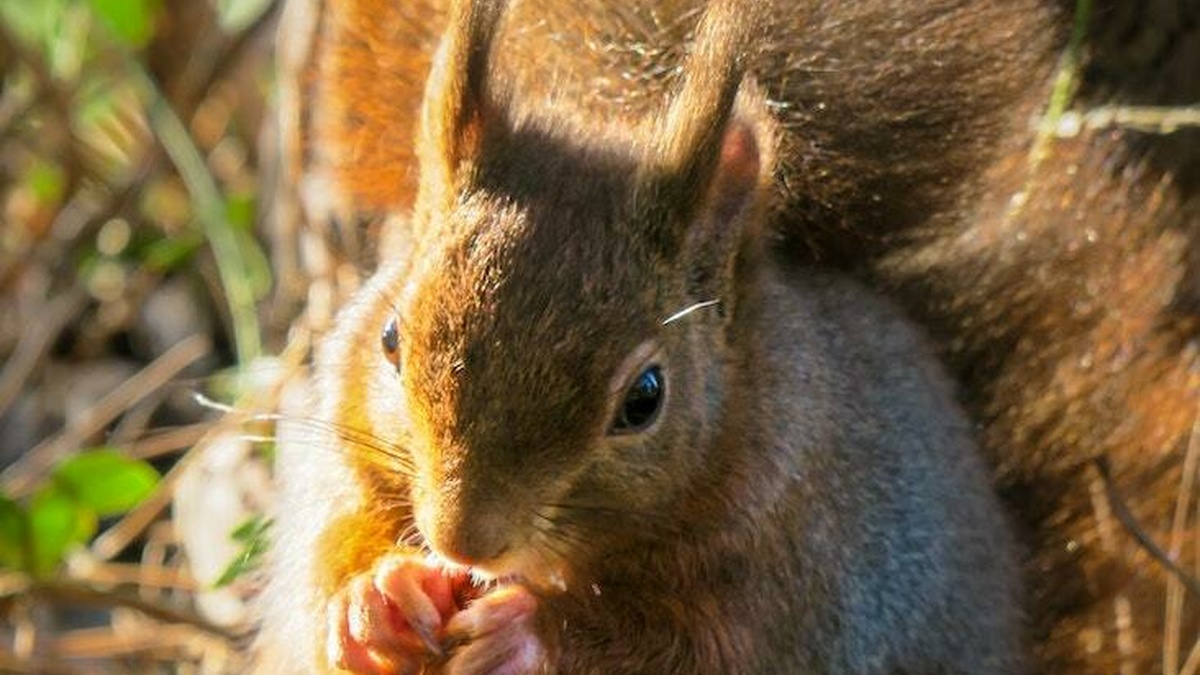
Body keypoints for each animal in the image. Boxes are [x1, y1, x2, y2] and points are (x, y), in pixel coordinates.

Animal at [262, 0, 1200, 667]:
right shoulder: (343, 459)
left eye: (645, 398)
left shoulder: (796, 573)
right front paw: (375, 600)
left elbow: (685, 651)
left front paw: (525, 633)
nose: (464, 538)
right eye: (390, 338)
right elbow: (326, 554)